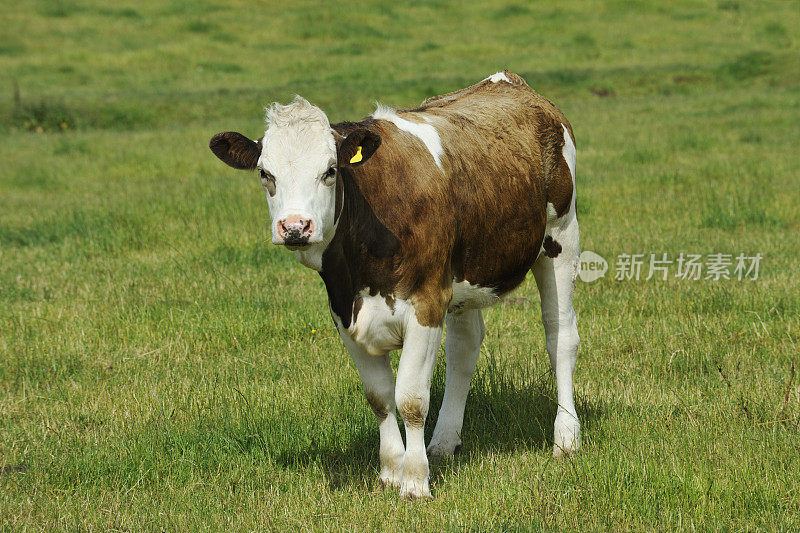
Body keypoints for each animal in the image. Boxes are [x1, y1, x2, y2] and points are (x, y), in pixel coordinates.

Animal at [206, 69, 580, 494]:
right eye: (265, 173)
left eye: (330, 170)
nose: (296, 227)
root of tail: (508, 81)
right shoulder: (344, 313)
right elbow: (380, 397)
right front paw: (390, 471)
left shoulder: (426, 303)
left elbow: (412, 399)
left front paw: (415, 482)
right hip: (462, 276)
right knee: (465, 348)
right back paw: (444, 442)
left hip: (561, 237)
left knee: (560, 335)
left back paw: (566, 437)